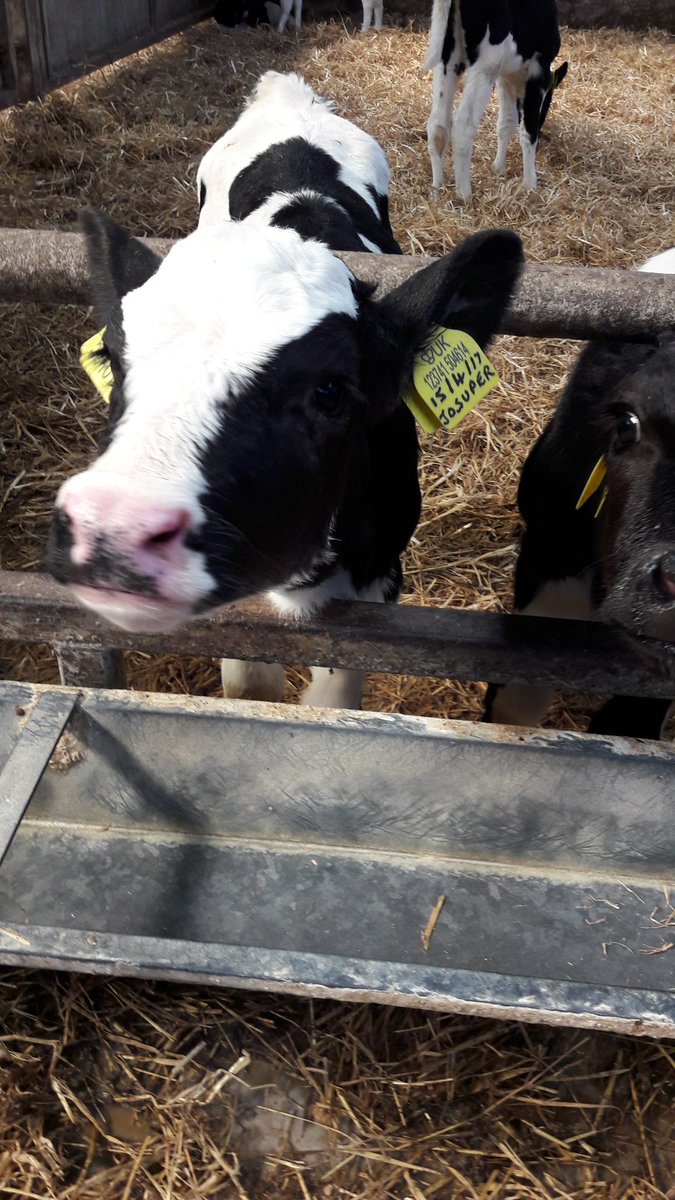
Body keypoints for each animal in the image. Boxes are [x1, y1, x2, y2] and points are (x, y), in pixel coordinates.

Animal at [425, 0, 568, 199]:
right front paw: (530, 184)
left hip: (447, 57)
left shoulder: (505, 76)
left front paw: (499, 168)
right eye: (547, 104)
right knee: (462, 125)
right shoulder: (537, 71)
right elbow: (528, 129)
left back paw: (437, 189)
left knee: (437, 124)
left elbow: (506, 123)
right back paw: (464, 194)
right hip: (487, 63)